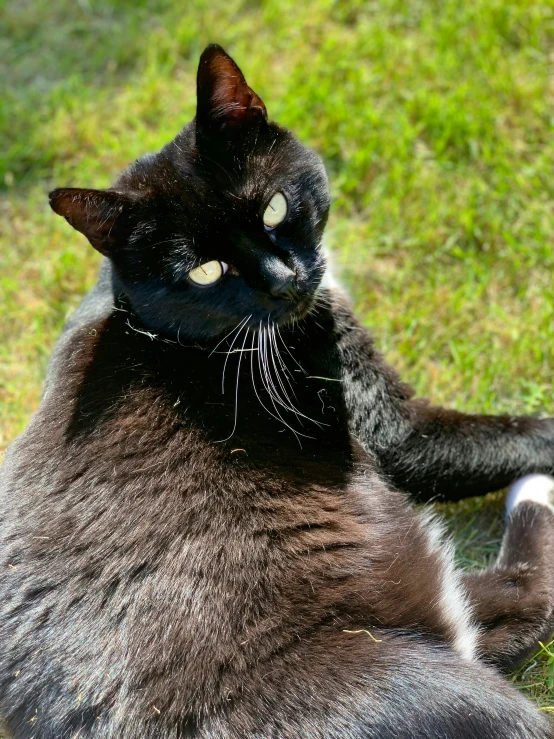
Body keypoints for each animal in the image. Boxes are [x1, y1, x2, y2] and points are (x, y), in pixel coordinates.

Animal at [1, 46, 552, 739]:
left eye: (273, 207)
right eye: (204, 270)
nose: (284, 280)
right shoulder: (387, 418)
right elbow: (491, 437)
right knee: (523, 599)